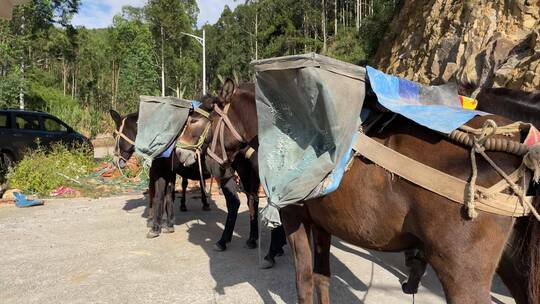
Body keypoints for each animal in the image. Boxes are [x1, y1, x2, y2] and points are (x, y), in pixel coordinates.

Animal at [182, 79, 540, 302]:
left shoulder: (295, 217)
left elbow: (304, 281)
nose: (195, 159)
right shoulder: (323, 225)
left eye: (203, 121)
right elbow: (322, 278)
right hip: (510, 267)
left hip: (463, 274)